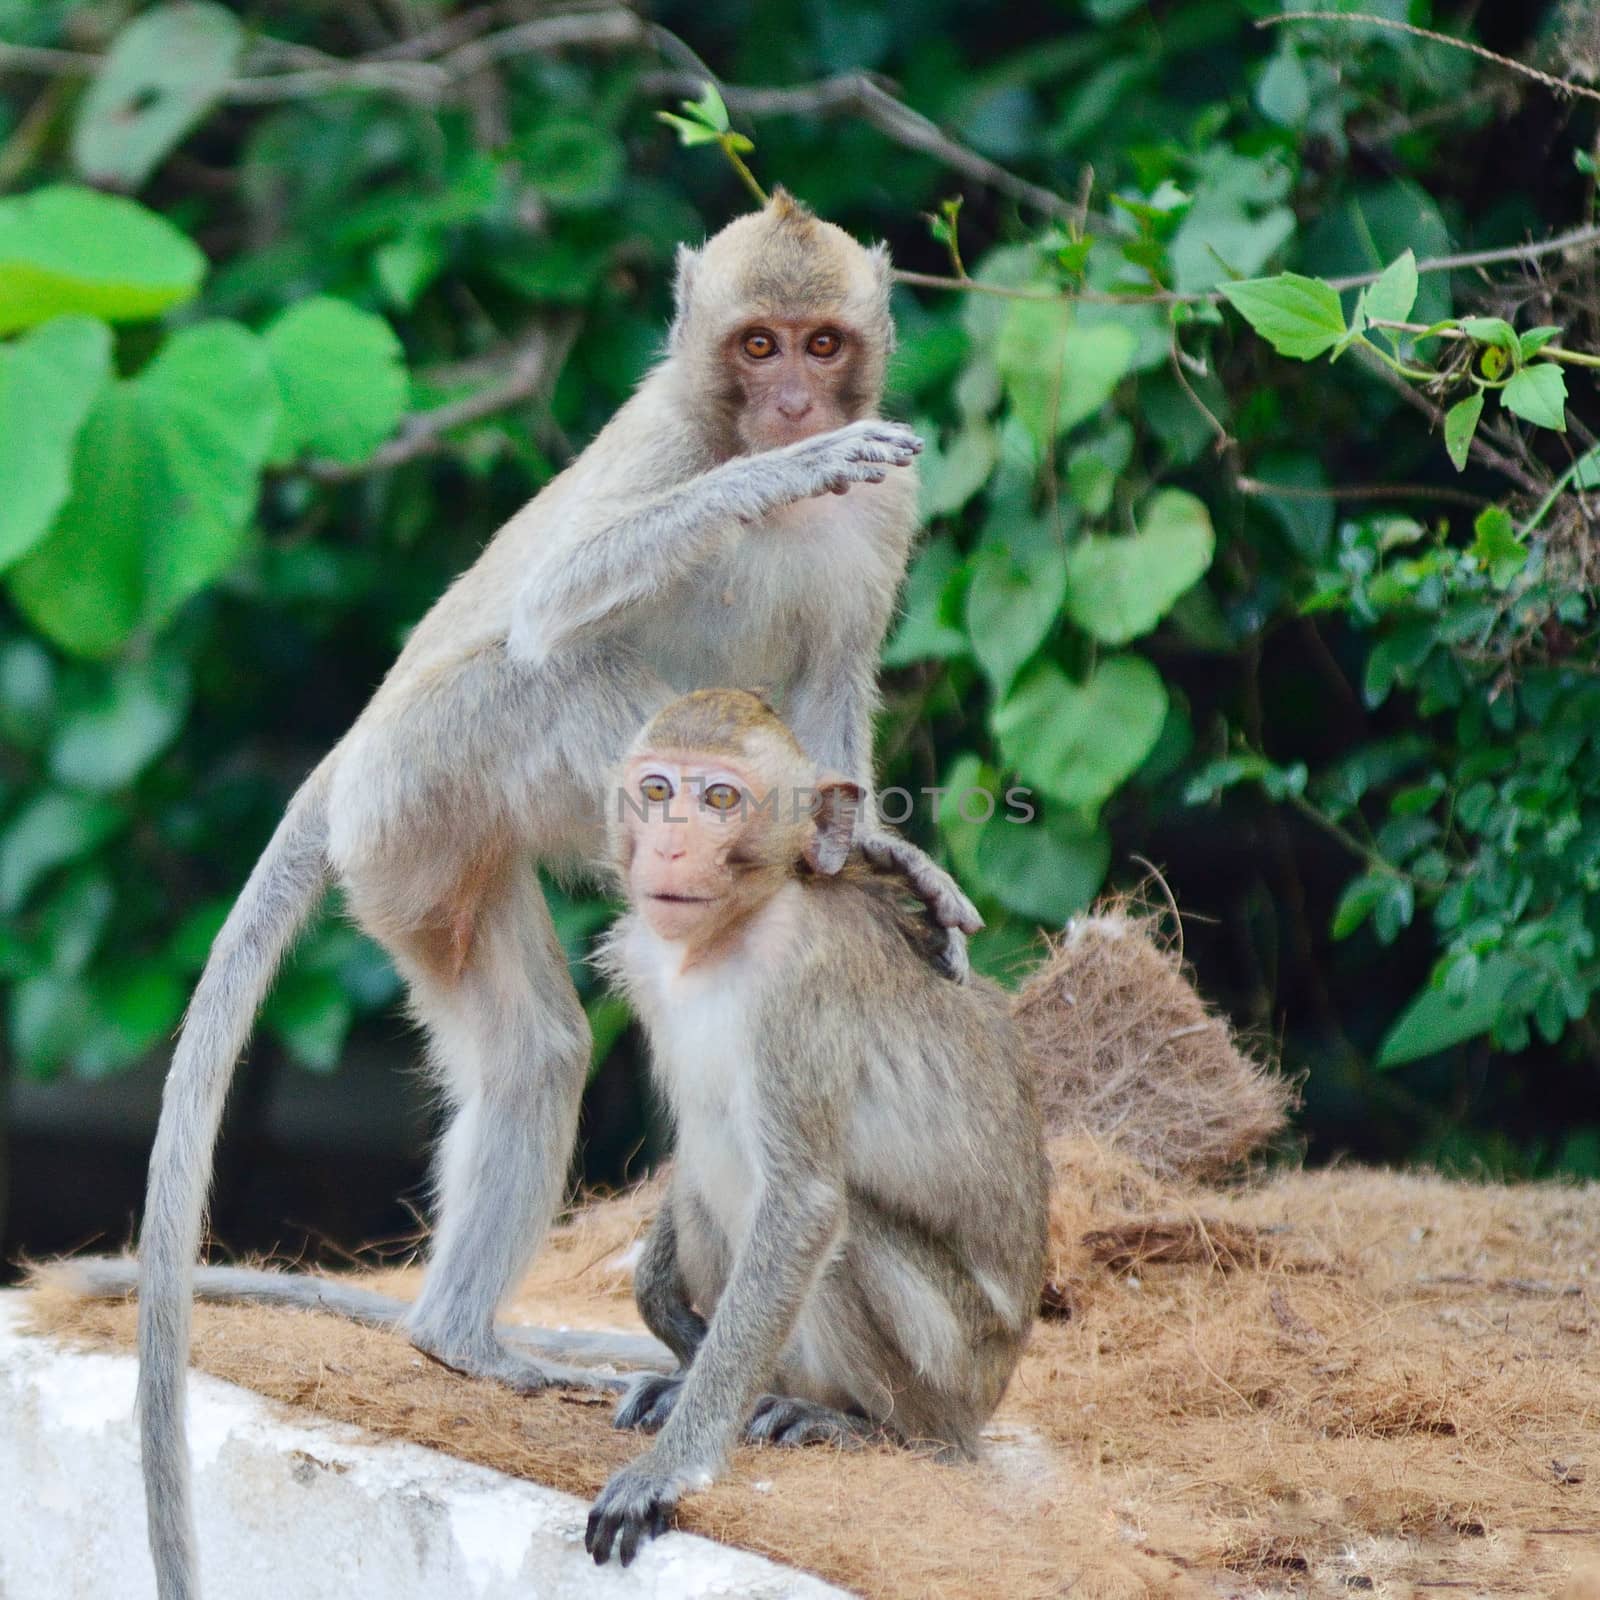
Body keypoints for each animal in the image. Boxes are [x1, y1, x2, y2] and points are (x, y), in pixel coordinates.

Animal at [134, 190, 972, 1600]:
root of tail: (353, 749)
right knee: (555, 664)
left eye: (819, 342)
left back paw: (455, 1333)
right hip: (440, 776)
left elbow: (831, 672)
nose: (795, 406)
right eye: (755, 348)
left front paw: (864, 842)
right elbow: (562, 590)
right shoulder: (665, 441)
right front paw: (770, 479)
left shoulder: (893, 506)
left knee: (530, 1050)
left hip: (427, 864)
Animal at [579, 688, 1049, 1561]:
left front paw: (674, 1467)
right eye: (657, 790)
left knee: (846, 1230)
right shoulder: (645, 961)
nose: (669, 846)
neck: (731, 934)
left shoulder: (803, 986)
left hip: (955, 1367)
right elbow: (693, 1157)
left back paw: (869, 1429)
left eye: (719, 798)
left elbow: (803, 1206)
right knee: (710, 1174)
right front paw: (663, 1312)